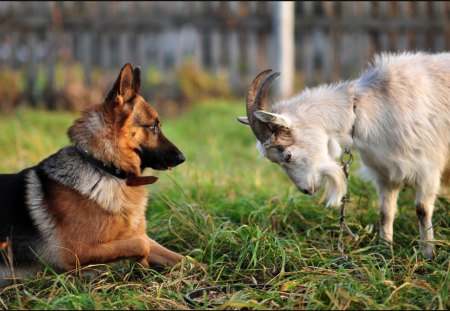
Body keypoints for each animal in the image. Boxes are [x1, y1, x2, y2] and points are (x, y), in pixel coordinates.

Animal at [0, 63, 186, 282]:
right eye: (153, 126)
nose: (182, 157)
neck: (105, 169)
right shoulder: (77, 252)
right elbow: (142, 246)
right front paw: (143, 264)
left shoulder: (137, 235)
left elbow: (181, 257)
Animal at [237, 52, 448, 260]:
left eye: (287, 156)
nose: (306, 190)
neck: (366, 108)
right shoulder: (386, 173)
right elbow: (385, 212)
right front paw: (383, 249)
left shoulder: (428, 168)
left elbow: (421, 209)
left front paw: (427, 254)